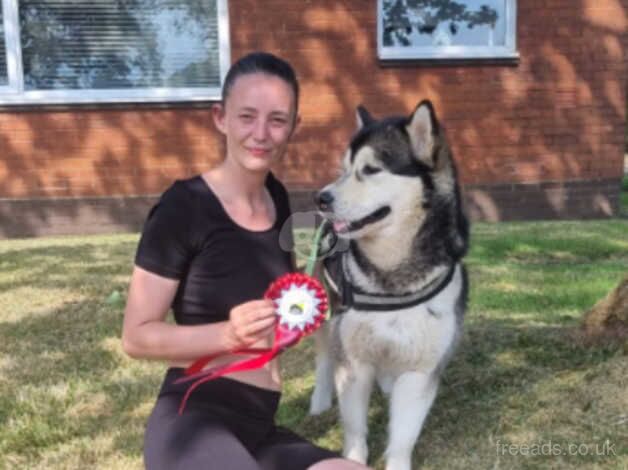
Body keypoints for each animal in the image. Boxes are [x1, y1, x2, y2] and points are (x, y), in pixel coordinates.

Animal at [310, 100, 466, 470]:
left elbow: (403, 437)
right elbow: (355, 430)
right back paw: (319, 401)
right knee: (323, 357)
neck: (392, 278)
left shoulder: (420, 371)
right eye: (344, 169)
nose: (320, 198)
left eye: (370, 169)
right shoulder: (353, 365)